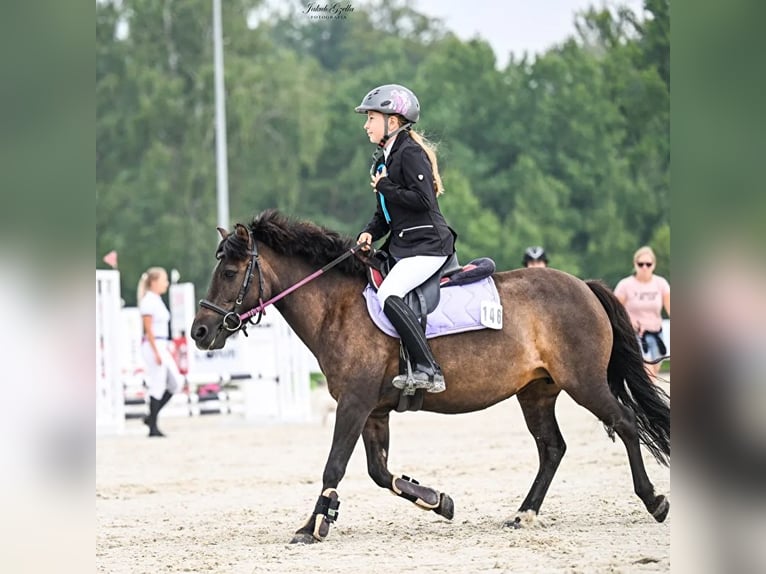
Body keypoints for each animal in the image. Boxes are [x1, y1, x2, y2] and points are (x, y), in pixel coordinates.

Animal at [190, 210, 672, 544]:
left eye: (229, 272)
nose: (199, 332)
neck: (339, 307)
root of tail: (583, 286)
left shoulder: (354, 405)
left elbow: (335, 465)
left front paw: (313, 525)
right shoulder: (374, 412)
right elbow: (379, 472)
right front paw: (438, 501)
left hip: (584, 383)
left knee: (625, 423)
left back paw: (655, 501)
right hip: (537, 392)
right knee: (552, 448)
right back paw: (524, 513)